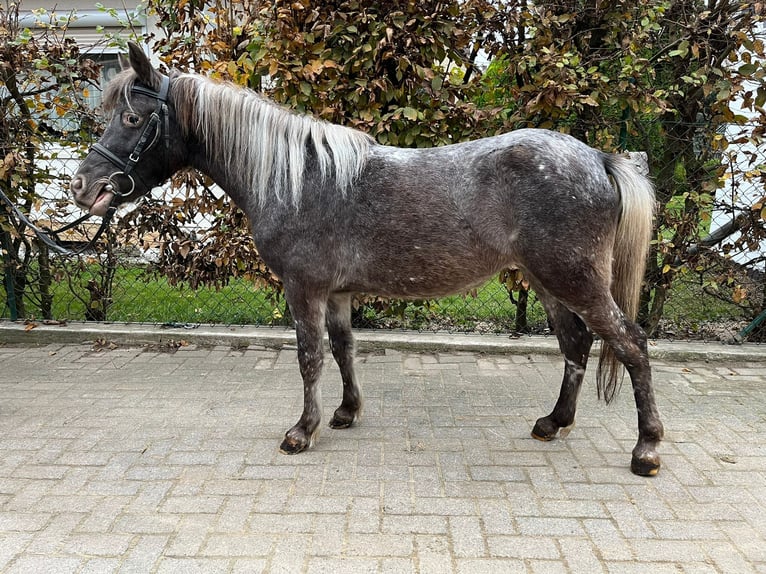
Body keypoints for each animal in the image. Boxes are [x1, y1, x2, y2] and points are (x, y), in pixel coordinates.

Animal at [69, 44, 664, 476]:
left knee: (630, 344)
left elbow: (310, 358)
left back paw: (647, 449)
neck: (296, 176)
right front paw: (345, 413)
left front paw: (301, 432)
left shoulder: (304, 289)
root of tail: (599, 158)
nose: (84, 187)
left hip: (574, 279)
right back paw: (553, 422)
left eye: (130, 118)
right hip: (547, 281)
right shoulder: (336, 293)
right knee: (576, 344)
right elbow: (343, 349)